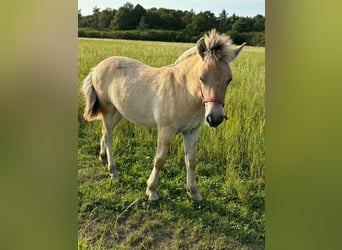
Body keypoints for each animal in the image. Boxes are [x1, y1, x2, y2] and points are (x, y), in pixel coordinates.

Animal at [81, 29, 244, 201]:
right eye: (202, 77)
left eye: (229, 79)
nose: (215, 118)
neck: (183, 91)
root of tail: (97, 67)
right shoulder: (166, 130)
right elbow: (159, 160)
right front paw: (151, 191)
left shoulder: (192, 132)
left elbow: (191, 160)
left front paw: (194, 192)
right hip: (109, 110)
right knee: (108, 137)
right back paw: (113, 171)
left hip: (118, 112)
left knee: (104, 133)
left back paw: (103, 157)